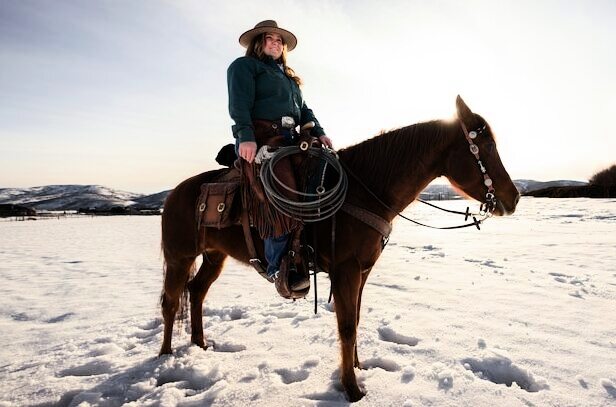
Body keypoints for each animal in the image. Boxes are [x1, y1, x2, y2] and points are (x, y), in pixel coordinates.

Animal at [158, 96, 520, 402]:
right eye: (486, 145)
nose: (514, 197)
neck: (366, 190)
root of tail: (175, 192)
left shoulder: (363, 270)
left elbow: (356, 320)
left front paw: (358, 369)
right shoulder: (345, 269)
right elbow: (346, 327)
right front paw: (352, 389)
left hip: (213, 257)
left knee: (197, 291)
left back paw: (201, 344)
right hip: (179, 257)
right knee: (171, 302)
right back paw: (165, 356)